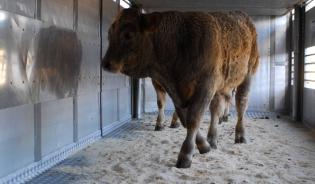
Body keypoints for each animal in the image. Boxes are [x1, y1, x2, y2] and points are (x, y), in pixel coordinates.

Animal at [102, 5, 260, 168]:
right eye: (109, 33)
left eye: (128, 35)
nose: (106, 63)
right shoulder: (175, 91)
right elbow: (184, 118)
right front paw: (204, 145)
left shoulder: (206, 86)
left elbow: (194, 118)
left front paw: (186, 154)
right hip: (222, 86)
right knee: (216, 108)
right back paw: (212, 139)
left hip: (247, 74)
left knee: (241, 104)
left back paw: (240, 135)